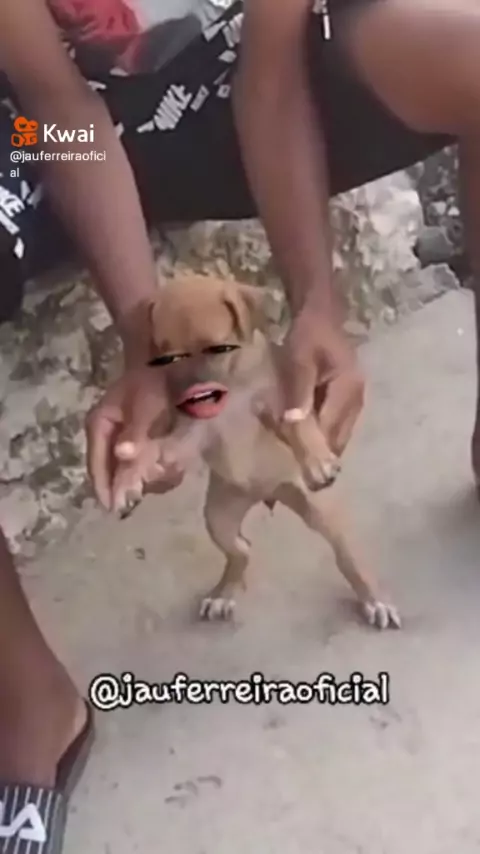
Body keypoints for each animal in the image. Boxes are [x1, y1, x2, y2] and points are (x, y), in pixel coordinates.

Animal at [119, 274, 400, 630]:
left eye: (215, 349)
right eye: (167, 356)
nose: (184, 396)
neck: (233, 385)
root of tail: (268, 493)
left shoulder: (280, 401)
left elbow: (298, 423)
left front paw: (317, 460)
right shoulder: (189, 434)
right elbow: (154, 450)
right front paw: (128, 479)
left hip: (321, 512)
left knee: (347, 557)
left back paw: (375, 599)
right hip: (220, 516)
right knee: (242, 550)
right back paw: (223, 592)